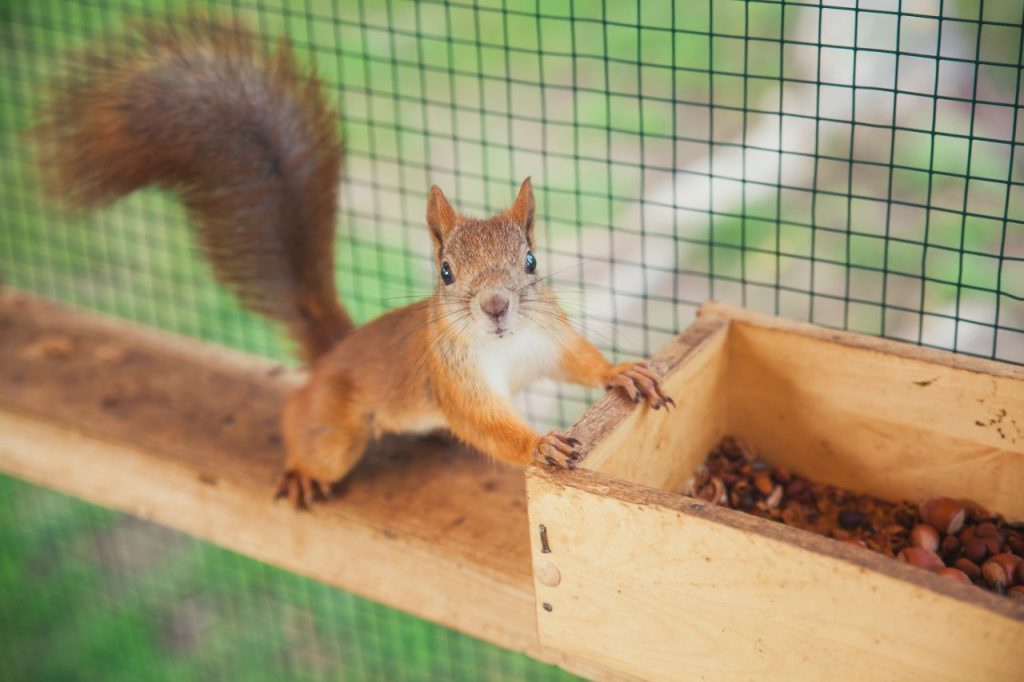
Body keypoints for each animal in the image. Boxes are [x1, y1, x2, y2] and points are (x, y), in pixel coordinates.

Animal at [39, 15, 675, 507]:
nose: (496, 306)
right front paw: (538, 443)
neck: (507, 344)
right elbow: (485, 426)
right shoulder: (454, 378)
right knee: (303, 424)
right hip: (333, 430)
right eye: (446, 272)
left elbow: (579, 362)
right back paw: (301, 471)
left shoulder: (550, 337)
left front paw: (624, 372)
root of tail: (332, 354)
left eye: (532, 261)